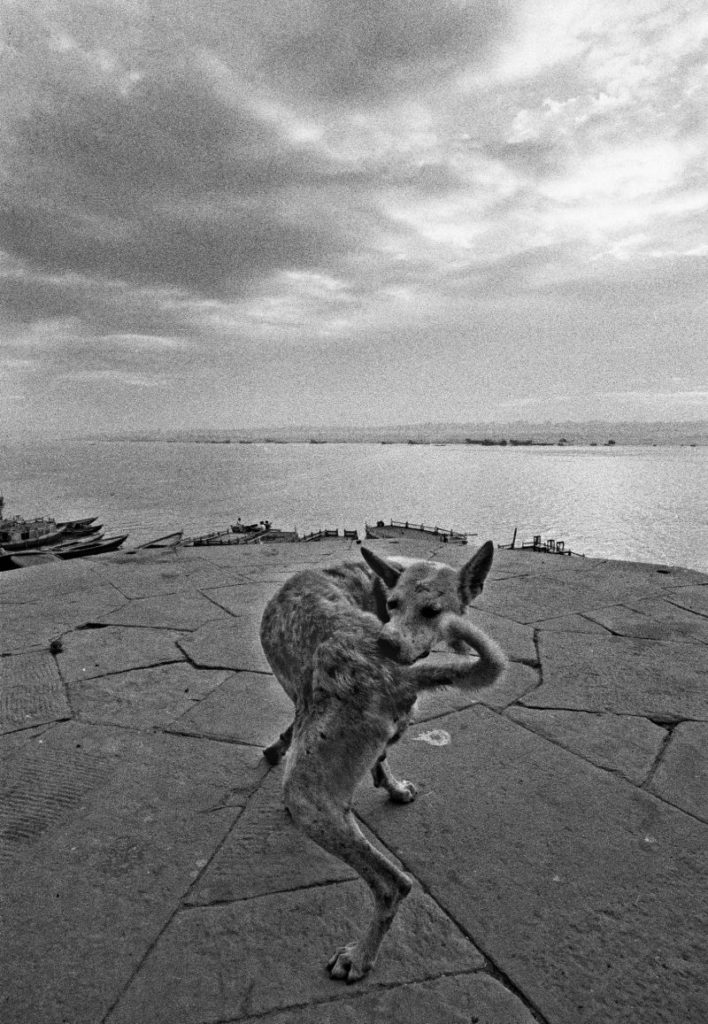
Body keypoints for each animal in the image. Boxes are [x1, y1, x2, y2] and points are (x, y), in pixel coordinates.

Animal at [260, 544, 510, 983]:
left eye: (432, 611)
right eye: (393, 604)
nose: (389, 642)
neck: (368, 581)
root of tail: (388, 670)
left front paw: (277, 747)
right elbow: (381, 756)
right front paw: (392, 787)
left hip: (307, 796)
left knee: (394, 885)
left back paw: (359, 957)